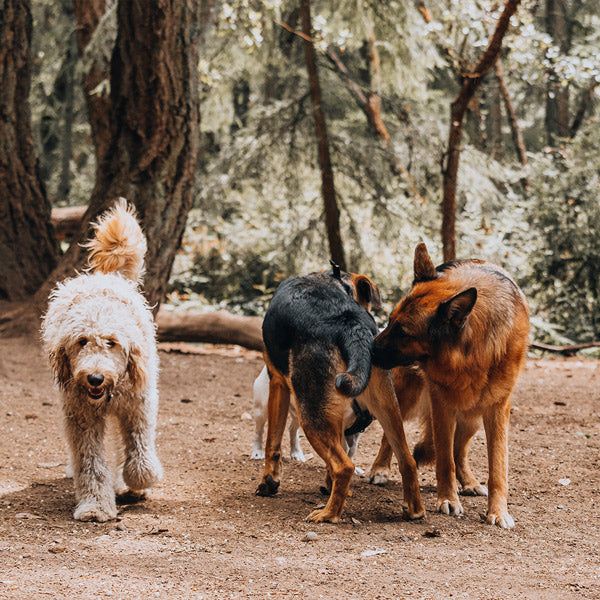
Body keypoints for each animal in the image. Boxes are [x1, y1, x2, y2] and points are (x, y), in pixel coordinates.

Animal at [40, 200, 163, 520]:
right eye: (81, 341)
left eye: (112, 342)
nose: (95, 378)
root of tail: (105, 277)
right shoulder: (82, 419)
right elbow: (91, 464)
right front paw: (95, 505)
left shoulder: (137, 406)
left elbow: (139, 451)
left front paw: (138, 480)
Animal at [255, 264, 424, 524]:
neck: (336, 282)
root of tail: (350, 324)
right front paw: (329, 486)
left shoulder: (278, 383)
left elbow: (272, 443)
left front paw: (269, 482)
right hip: (388, 409)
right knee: (407, 460)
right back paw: (414, 510)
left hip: (311, 416)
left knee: (344, 467)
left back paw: (328, 514)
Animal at [376, 241, 528, 528]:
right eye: (390, 321)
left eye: (404, 333)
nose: (370, 348)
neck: (472, 354)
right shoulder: (441, 405)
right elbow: (444, 459)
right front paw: (447, 499)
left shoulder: (497, 409)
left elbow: (497, 468)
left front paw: (498, 511)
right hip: (407, 399)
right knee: (391, 436)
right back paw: (379, 468)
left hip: (472, 418)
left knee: (460, 451)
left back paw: (468, 482)